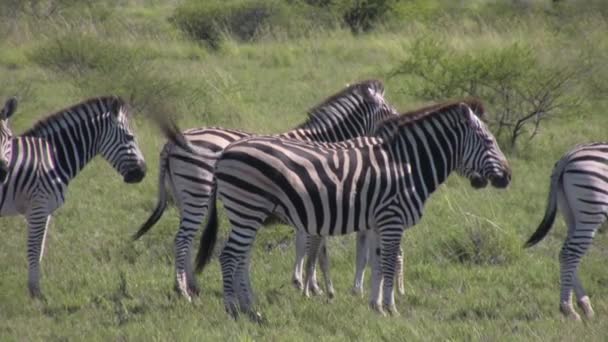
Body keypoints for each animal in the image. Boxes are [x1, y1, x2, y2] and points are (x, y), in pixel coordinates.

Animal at [1, 96, 149, 300]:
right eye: (130, 137)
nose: (142, 172)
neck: (52, 158)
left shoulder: (43, 211)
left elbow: (39, 250)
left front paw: (35, 291)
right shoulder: (38, 207)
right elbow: (34, 250)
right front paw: (36, 294)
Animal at [132, 79, 404, 300]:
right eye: (389, 111)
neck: (321, 141)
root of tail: (171, 144)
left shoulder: (311, 203)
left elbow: (306, 244)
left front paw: (305, 283)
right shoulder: (314, 200)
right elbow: (313, 247)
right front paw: (314, 287)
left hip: (184, 196)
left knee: (187, 240)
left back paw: (191, 286)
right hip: (197, 191)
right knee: (181, 240)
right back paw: (184, 292)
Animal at [196, 99, 512, 320]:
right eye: (489, 141)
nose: (508, 177)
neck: (408, 166)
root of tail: (226, 152)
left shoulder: (378, 223)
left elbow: (377, 262)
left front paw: (375, 305)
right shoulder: (391, 219)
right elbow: (387, 264)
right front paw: (391, 309)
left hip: (247, 213)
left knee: (239, 258)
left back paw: (249, 308)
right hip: (247, 208)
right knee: (229, 256)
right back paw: (234, 310)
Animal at [524, 143, 608, 322]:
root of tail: (568, 155)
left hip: (571, 214)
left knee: (566, 252)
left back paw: (584, 306)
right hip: (590, 211)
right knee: (571, 253)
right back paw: (569, 309)